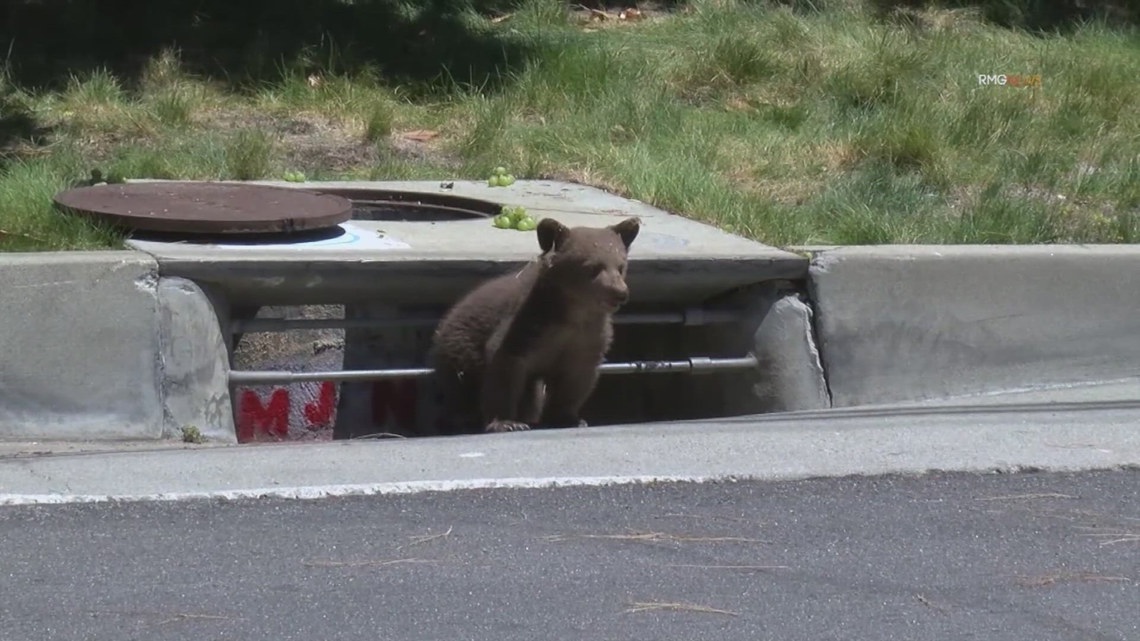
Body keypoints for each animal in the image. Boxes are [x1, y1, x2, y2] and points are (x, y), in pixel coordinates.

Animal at [429, 215, 641, 435]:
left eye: (621, 266)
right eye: (592, 267)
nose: (620, 293)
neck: (573, 313)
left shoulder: (587, 338)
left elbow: (577, 379)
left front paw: (569, 418)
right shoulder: (529, 324)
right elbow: (504, 365)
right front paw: (507, 422)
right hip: (459, 353)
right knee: (460, 389)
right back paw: (461, 418)